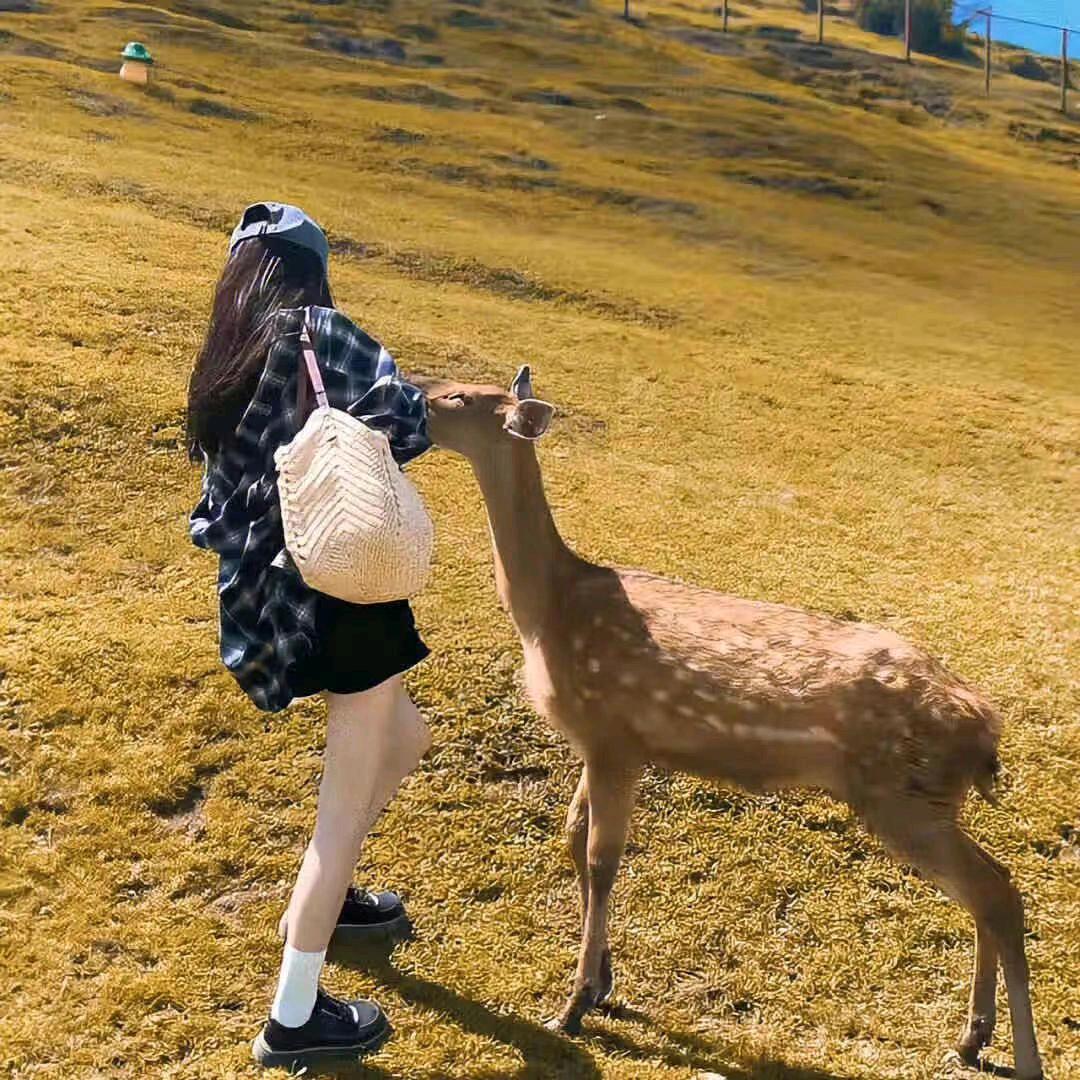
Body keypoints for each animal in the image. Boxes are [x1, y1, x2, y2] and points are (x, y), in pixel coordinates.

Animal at [412, 366, 1043, 1080]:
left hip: (901, 796)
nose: (405, 395)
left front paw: (572, 1008)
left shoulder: (613, 736)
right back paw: (971, 1037)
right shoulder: (604, 743)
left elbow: (602, 860)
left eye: (460, 398)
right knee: (989, 887)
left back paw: (1020, 1056)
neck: (547, 612)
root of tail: (985, 730)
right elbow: (574, 839)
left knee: (996, 890)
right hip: (923, 799)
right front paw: (602, 985)